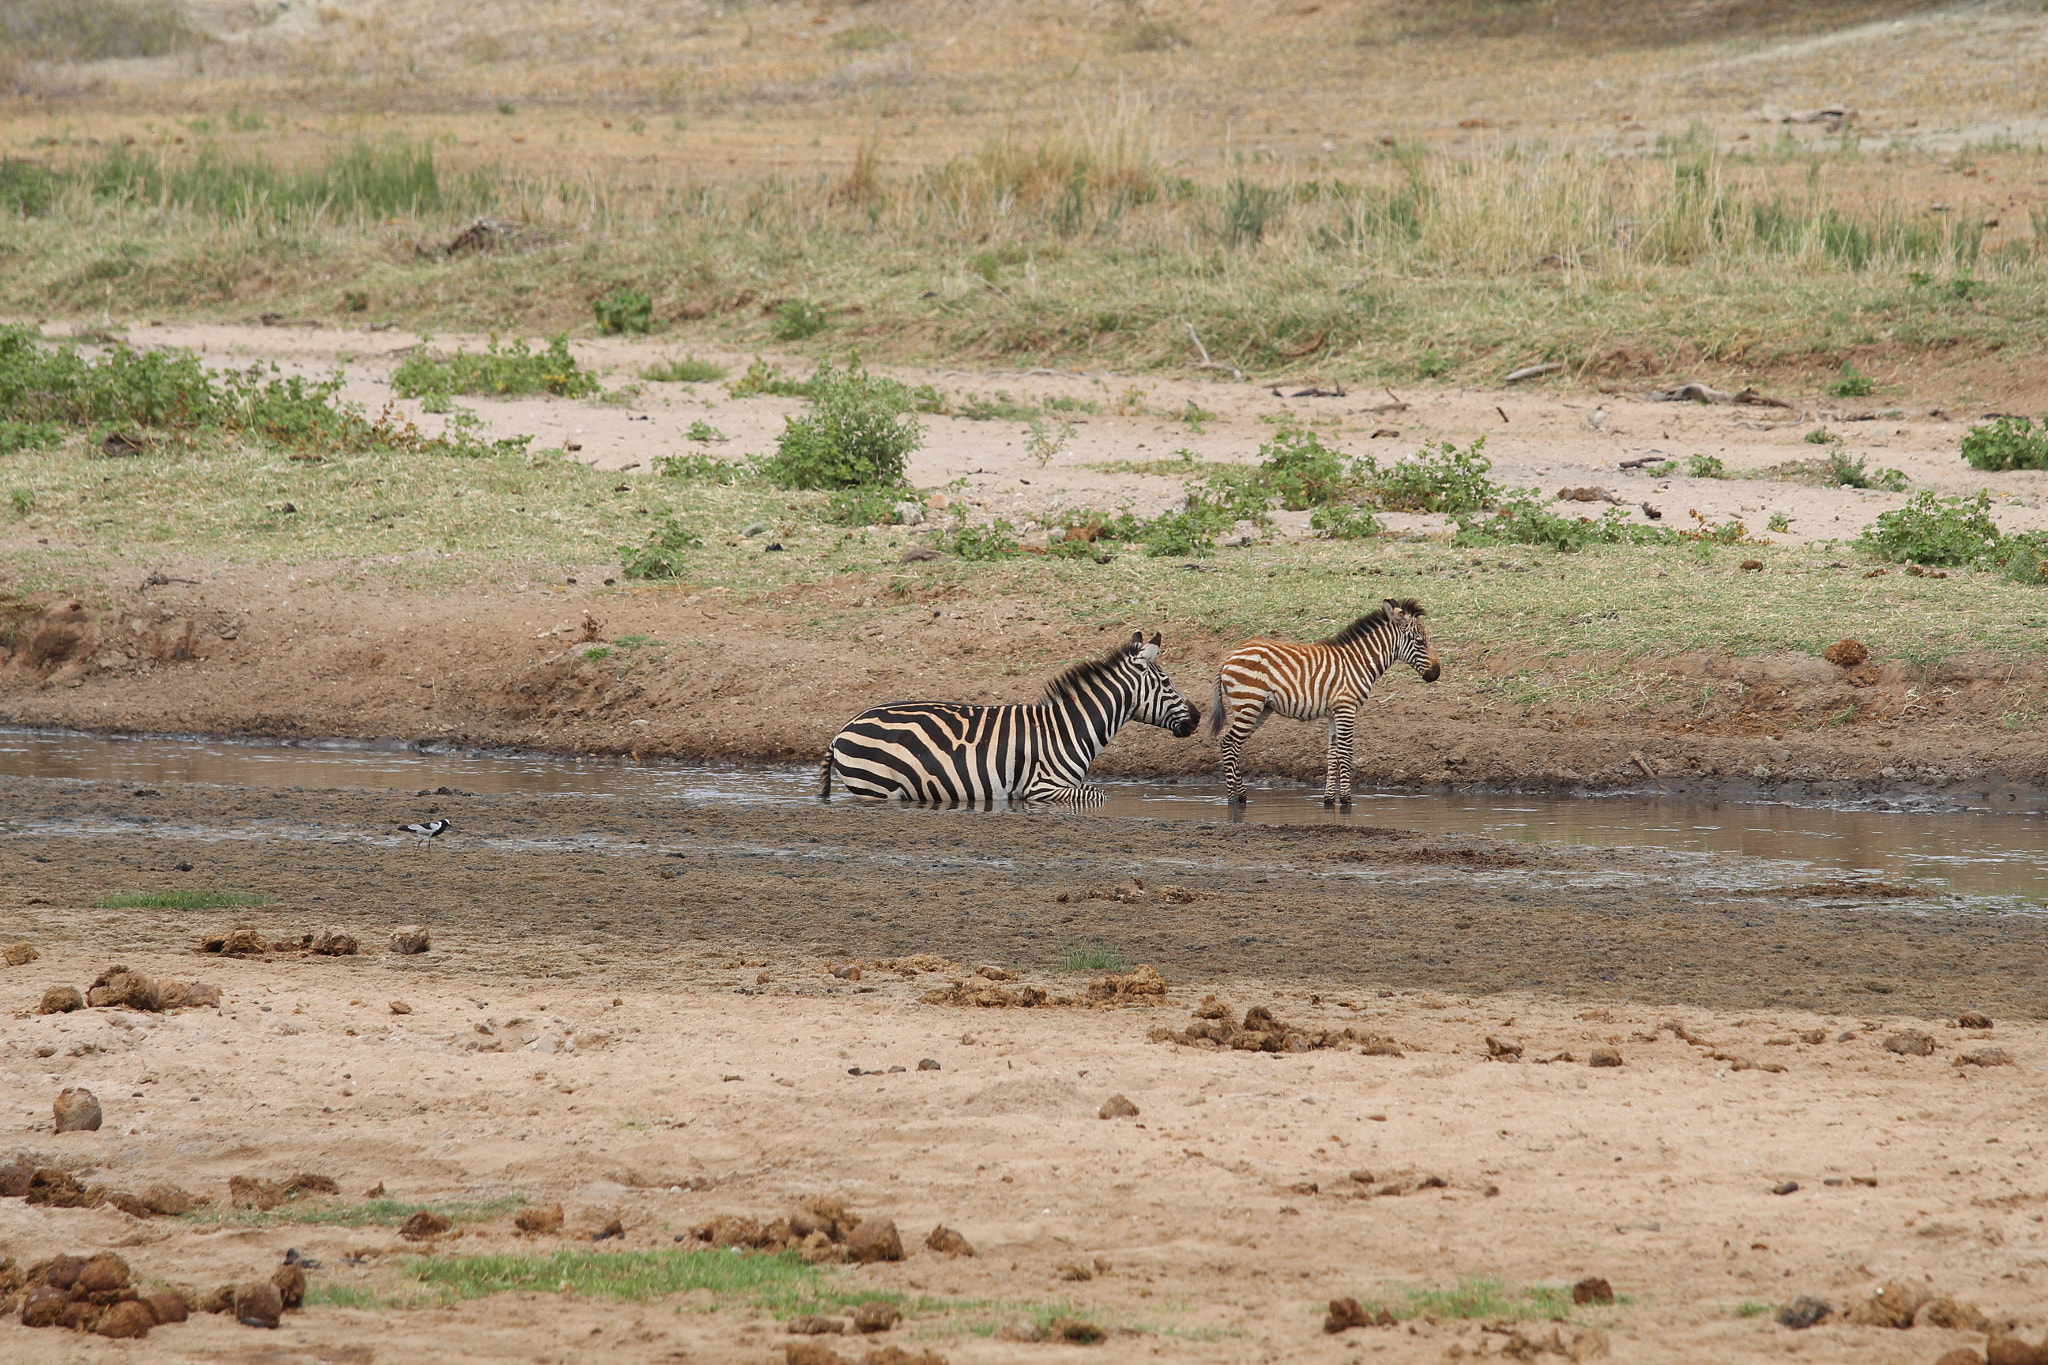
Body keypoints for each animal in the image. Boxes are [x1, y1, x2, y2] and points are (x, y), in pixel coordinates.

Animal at [815, 634, 1196, 806]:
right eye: (1166, 683)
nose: (1196, 717)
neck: (1068, 728)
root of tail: (841, 731)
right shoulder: (1043, 785)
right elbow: (1099, 795)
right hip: (877, 789)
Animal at [1212, 593, 1441, 806]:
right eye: (1420, 641)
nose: (1436, 673)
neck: (1358, 662)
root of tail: (1230, 655)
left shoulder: (1334, 713)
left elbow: (1333, 755)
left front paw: (1329, 799)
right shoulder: (1346, 708)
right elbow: (1346, 754)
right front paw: (1347, 800)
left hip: (1260, 708)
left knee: (1235, 745)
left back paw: (1241, 796)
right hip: (1249, 703)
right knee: (1229, 743)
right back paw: (1233, 799)